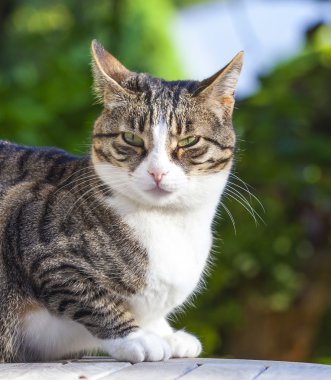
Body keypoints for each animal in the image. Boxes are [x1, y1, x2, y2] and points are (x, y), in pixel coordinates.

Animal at [0, 40, 244, 364]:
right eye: (131, 138)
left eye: (189, 141)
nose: (157, 172)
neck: (170, 223)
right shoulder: (37, 241)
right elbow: (92, 297)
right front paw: (136, 338)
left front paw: (166, 333)